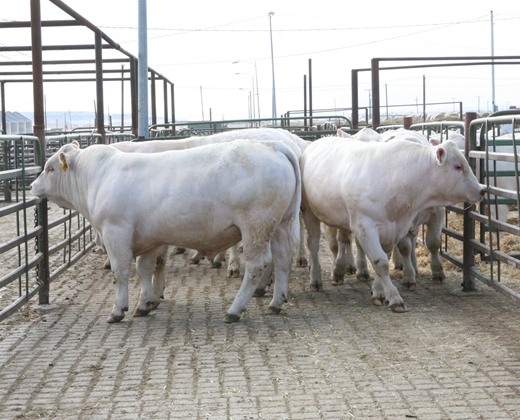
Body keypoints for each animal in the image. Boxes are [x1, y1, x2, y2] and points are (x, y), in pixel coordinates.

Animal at [31, 139, 300, 324]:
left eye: (50, 168)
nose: (32, 186)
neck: (99, 176)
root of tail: (272, 145)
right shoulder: (150, 238)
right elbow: (145, 269)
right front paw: (145, 303)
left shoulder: (116, 232)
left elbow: (121, 271)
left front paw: (118, 310)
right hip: (280, 225)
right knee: (283, 259)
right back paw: (276, 302)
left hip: (256, 226)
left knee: (256, 266)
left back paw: (234, 310)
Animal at [300, 136, 488, 310]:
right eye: (458, 166)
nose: (482, 189)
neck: (396, 178)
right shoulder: (365, 227)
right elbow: (380, 262)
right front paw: (395, 297)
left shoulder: (395, 229)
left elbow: (384, 259)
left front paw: (379, 293)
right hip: (309, 213)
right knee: (314, 244)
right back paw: (316, 279)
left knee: (343, 240)